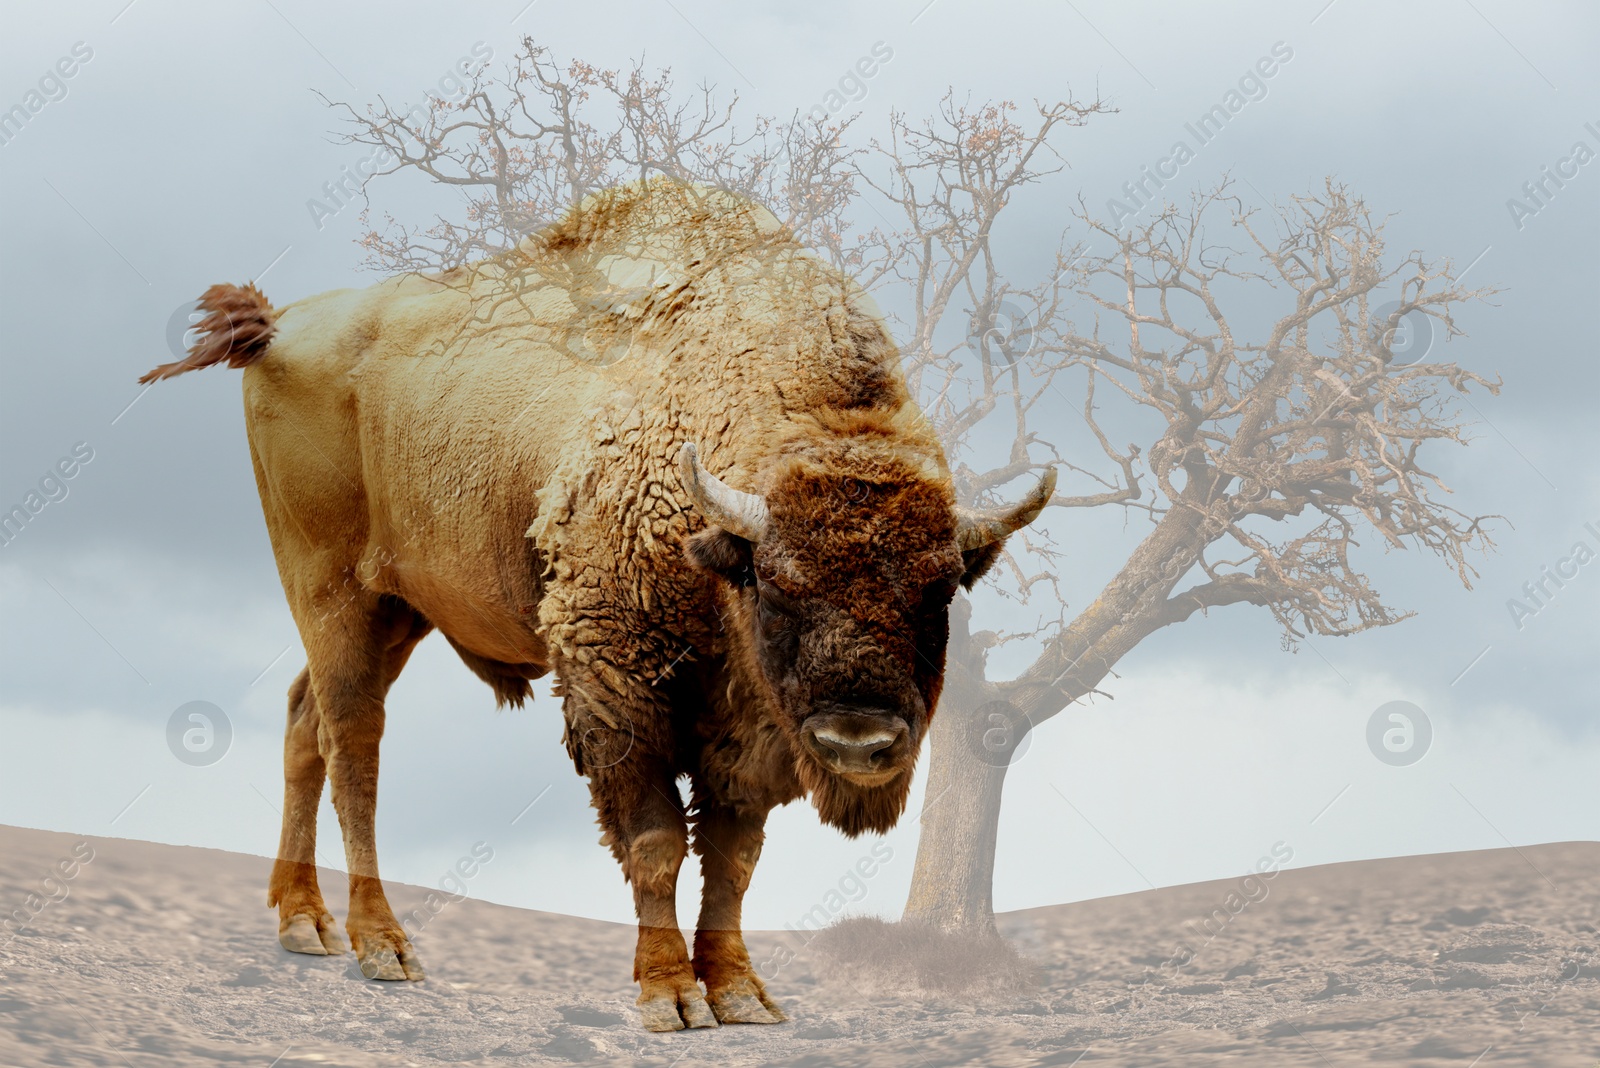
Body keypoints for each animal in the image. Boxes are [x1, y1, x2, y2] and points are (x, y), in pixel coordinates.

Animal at [144, 179, 1056, 1029]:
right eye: (774, 582)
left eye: (941, 587)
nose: (857, 742)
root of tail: (281, 324)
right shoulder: (617, 686)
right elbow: (656, 841)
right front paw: (670, 998)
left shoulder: (747, 727)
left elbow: (732, 855)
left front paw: (742, 994)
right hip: (333, 594)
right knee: (353, 745)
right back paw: (381, 946)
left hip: (402, 609)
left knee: (305, 719)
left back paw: (304, 924)